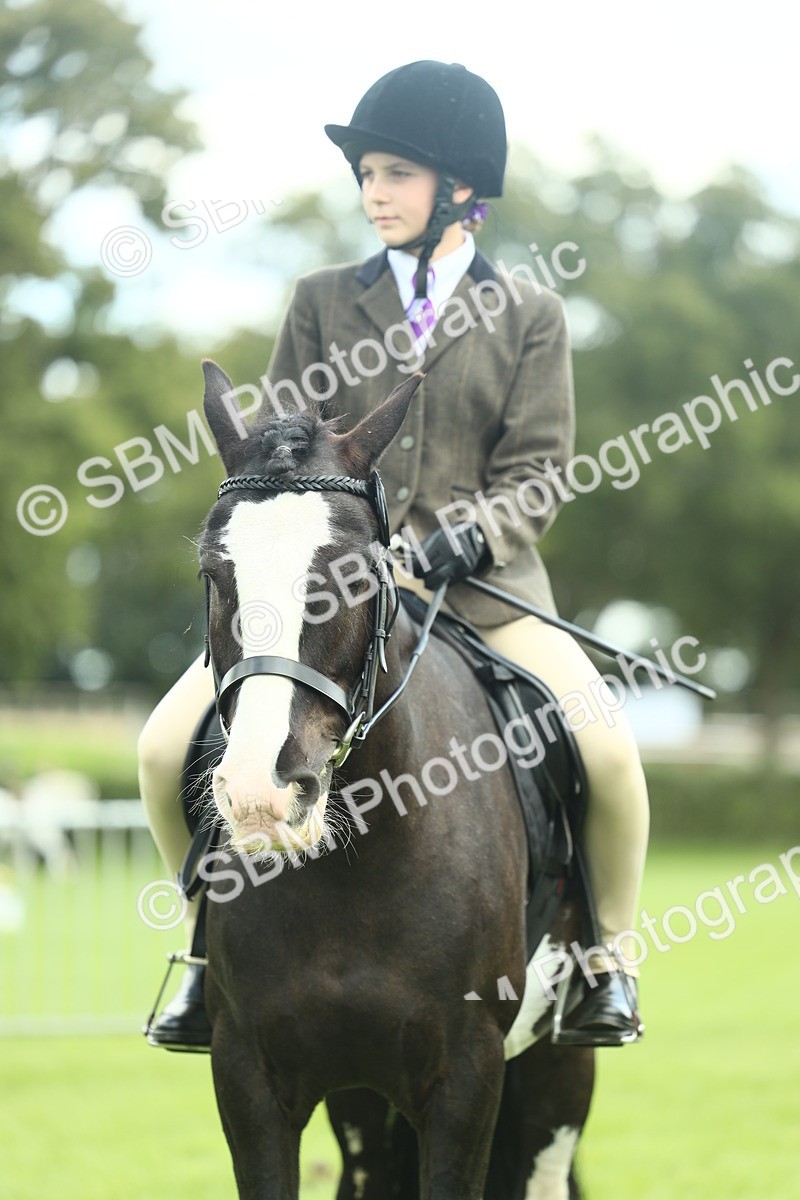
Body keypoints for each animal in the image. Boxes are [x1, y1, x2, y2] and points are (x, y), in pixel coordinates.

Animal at [194, 359, 595, 1199]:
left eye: (350, 576)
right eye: (215, 572)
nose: (263, 795)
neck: (358, 869)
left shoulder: (467, 1078)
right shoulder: (248, 1077)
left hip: (558, 1071)